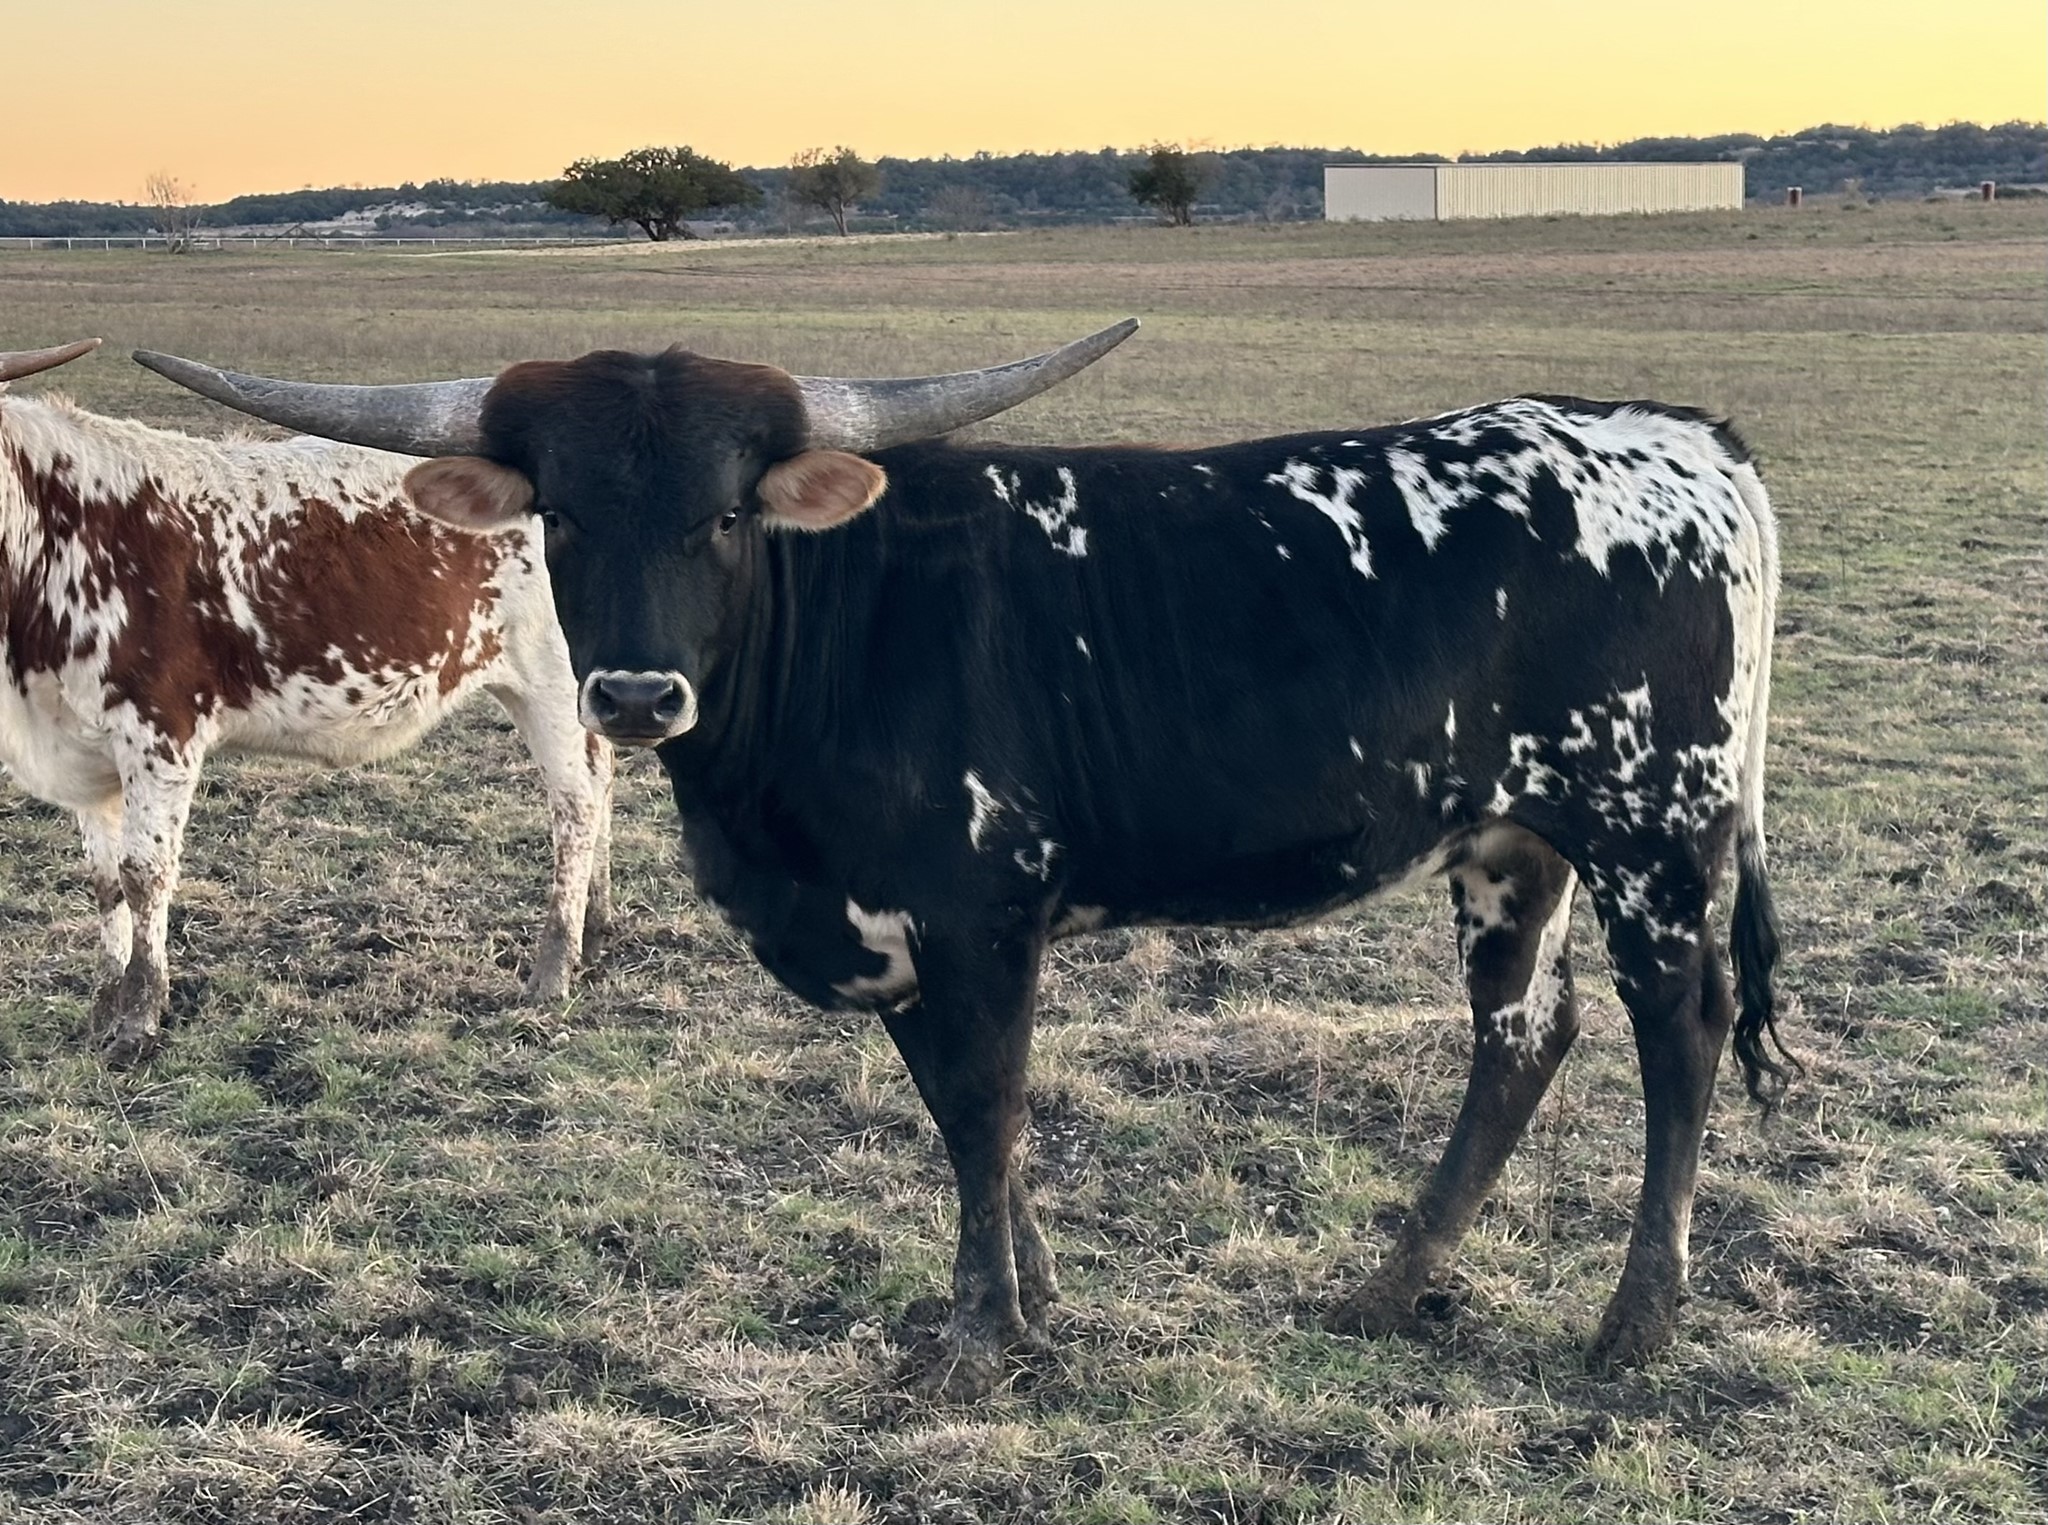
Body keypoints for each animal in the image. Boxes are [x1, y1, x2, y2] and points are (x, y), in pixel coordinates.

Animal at [1, 339, 613, 1064]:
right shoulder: (84, 751)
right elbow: (104, 883)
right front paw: (102, 1009)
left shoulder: (162, 735)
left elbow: (144, 873)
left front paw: (139, 1018)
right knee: (603, 779)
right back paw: (597, 926)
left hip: (550, 681)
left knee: (575, 804)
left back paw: (554, 965)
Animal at [136, 324, 1792, 1398]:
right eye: (564, 514)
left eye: (727, 511)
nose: (635, 697)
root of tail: (1684, 440)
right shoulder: (898, 932)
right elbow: (954, 1113)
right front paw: (1034, 1291)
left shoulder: (982, 910)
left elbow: (988, 1105)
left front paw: (984, 1331)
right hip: (1515, 840)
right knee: (1522, 1035)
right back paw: (1390, 1288)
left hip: (1654, 826)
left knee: (1682, 1030)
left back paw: (1637, 1323)